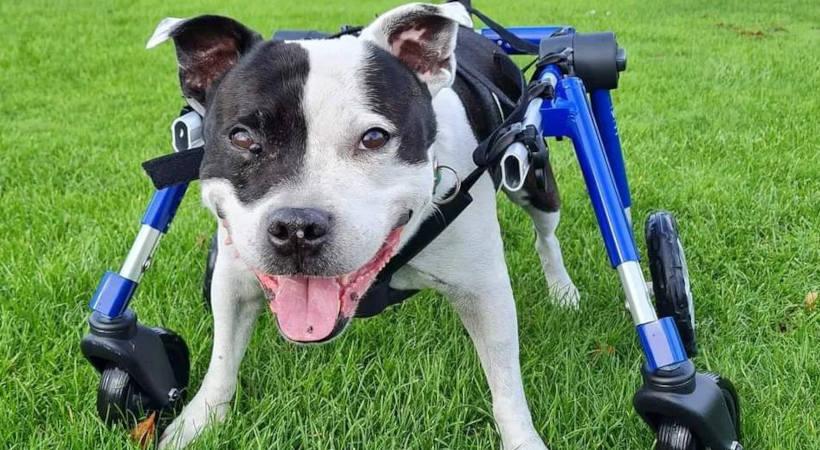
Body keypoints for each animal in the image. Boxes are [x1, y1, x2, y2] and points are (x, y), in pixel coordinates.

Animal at [149, 2, 576, 446]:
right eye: (242, 138)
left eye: (374, 138)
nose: (297, 226)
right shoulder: (233, 278)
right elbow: (222, 358)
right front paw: (197, 421)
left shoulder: (484, 292)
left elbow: (506, 384)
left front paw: (523, 440)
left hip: (530, 173)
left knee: (546, 235)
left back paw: (563, 291)